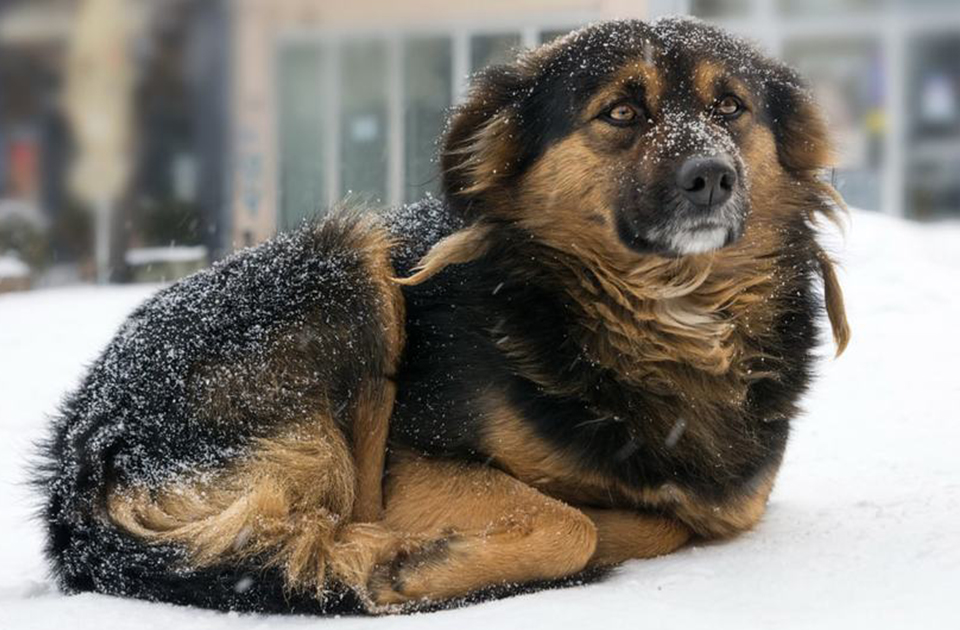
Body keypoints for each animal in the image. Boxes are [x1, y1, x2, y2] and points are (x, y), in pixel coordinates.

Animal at [35, 17, 848, 616]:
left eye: (730, 108)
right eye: (621, 112)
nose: (712, 177)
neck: (667, 312)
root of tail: (76, 471)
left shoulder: (732, 506)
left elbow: (663, 517)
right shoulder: (416, 463)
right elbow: (573, 524)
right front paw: (419, 560)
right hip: (346, 265)